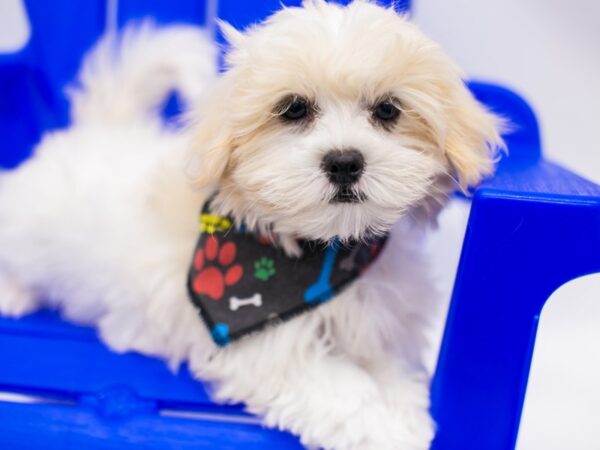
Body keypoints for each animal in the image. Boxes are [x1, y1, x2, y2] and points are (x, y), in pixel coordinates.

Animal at [0, 1, 504, 448]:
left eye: (387, 110)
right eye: (293, 109)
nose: (344, 161)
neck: (325, 254)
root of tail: (99, 129)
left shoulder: (376, 318)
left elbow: (388, 366)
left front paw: (404, 409)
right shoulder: (262, 343)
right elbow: (337, 388)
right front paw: (386, 431)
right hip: (33, 222)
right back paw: (14, 291)